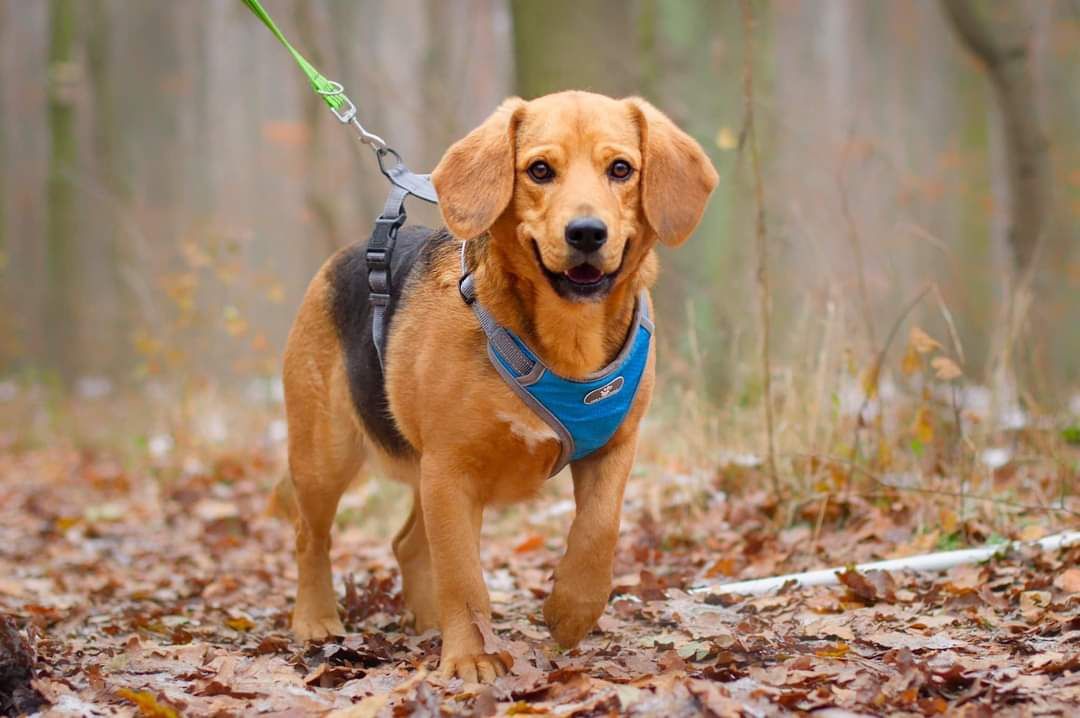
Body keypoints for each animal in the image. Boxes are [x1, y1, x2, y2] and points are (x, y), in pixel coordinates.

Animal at [274, 91, 717, 682]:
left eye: (621, 169)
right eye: (540, 170)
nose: (586, 232)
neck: (567, 342)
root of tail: (339, 259)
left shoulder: (616, 446)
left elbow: (599, 532)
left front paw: (570, 611)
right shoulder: (451, 469)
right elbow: (463, 576)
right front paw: (472, 656)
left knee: (409, 545)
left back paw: (428, 622)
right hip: (327, 454)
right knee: (312, 537)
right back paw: (317, 618)